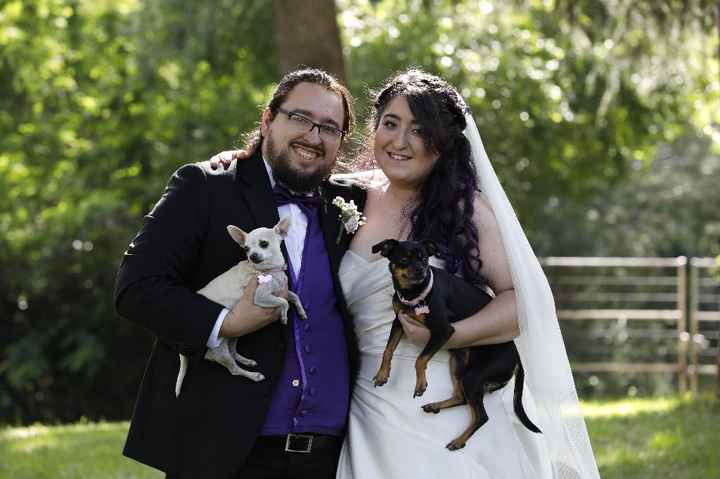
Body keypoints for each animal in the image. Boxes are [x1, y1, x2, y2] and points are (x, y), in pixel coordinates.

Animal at [372, 239, 540, 450]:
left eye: (424, 259)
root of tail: (517, 357)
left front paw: (420, 384)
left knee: (482, 417)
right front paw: (382, 374)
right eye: (404, 259)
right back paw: (435, 406)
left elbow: (420, 360)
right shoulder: (399, 322)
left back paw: (459, 441)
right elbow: (388, 349)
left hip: (472, 376)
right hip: (458, 363)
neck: (412, 294)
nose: (421, 269)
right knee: (461, 398)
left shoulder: (442, 330)